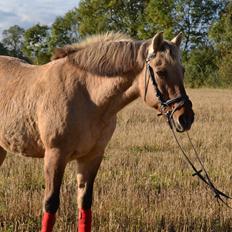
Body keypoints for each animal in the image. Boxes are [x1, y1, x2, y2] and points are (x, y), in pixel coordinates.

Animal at [0, 31, 194, 232]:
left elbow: (85, 204)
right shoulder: (55, 155)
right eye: (161, 71)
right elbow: (50, 204)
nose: (185, 118)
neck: (87, 94)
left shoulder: (92, 157)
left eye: (182, 70)